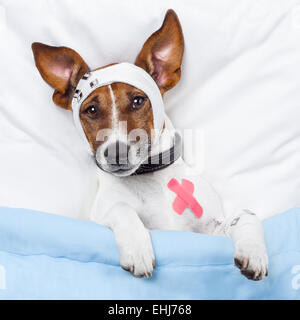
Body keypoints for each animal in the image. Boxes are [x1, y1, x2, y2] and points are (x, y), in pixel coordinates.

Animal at [31, 9, 268, 280]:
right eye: (91, 110)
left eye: (137, 101)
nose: (116, 153)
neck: (150, 178)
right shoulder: (99, 216)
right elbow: (121, 208)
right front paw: (137, 249)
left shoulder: (208, 231)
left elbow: (246, 215)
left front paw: (254, 252)